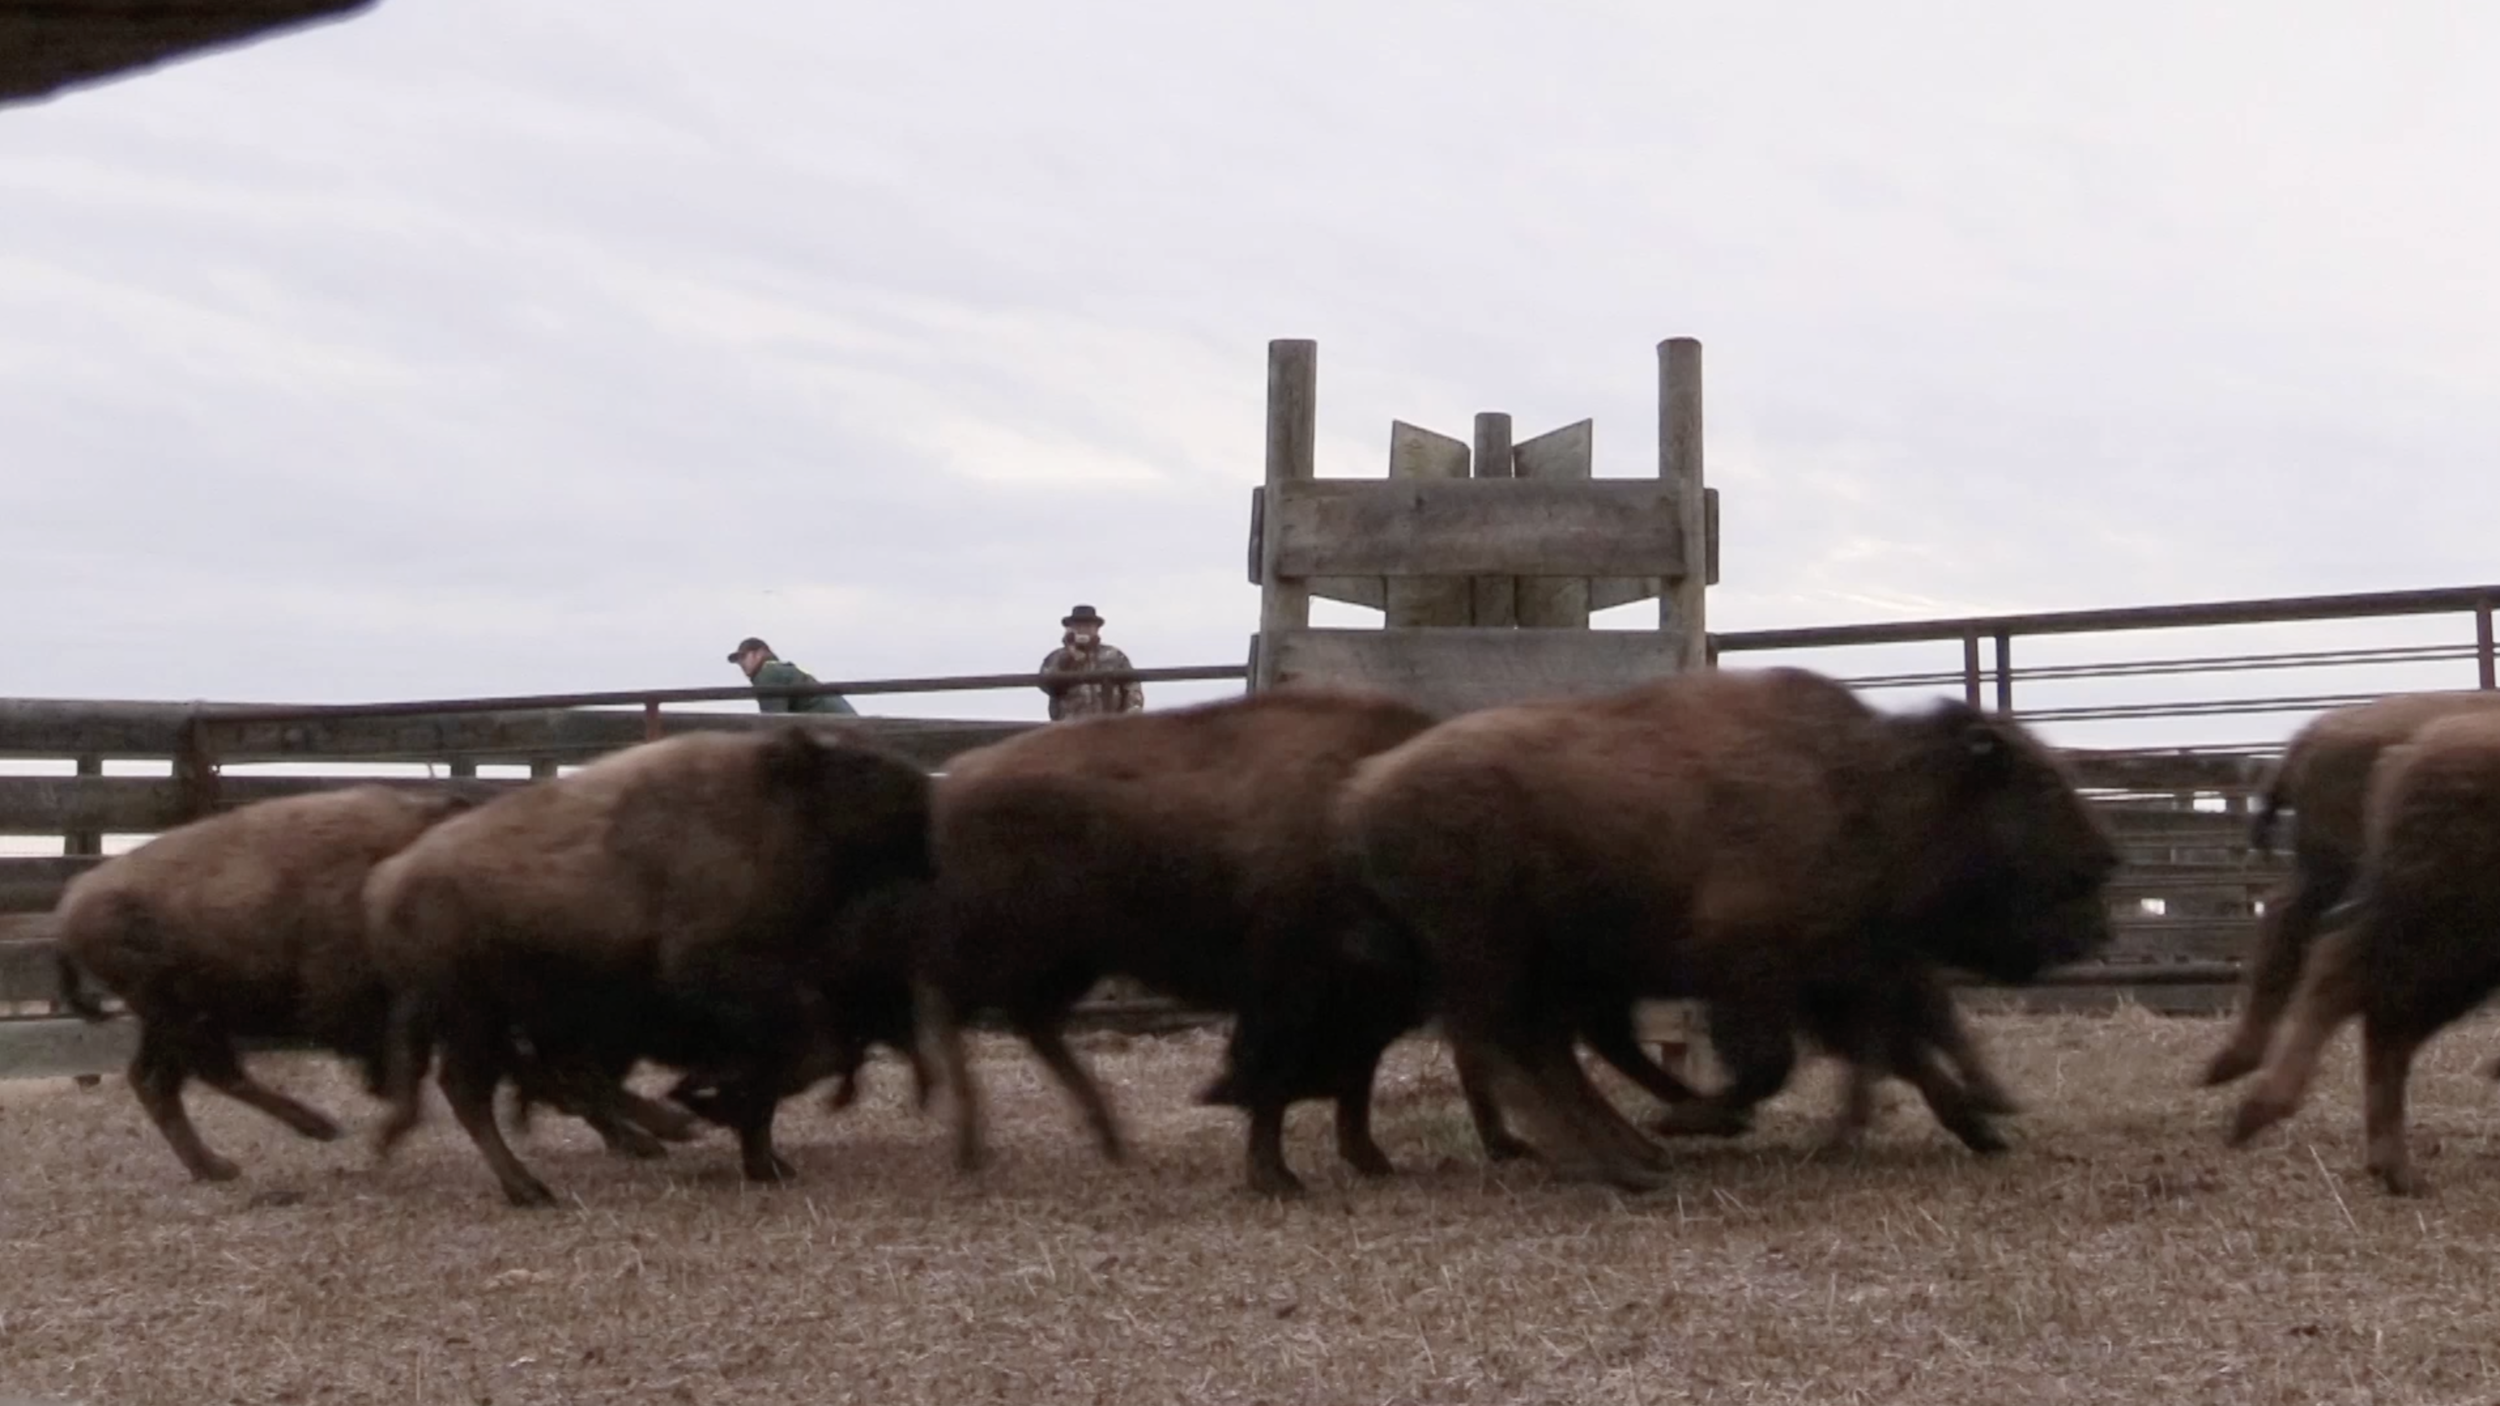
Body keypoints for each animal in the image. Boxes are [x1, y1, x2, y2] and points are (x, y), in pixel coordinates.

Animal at [51, 780, 497, 1175]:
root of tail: (71, 903)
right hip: (180, 1014)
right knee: (208, 1074)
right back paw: (315, 1128)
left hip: (166, 1019)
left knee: (156, 1080)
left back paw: (216, 1167)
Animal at [357, 720, 935, 1205]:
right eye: (860, 767)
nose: (924, 794)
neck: (775, 807)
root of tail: (388, 881)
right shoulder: (731, 985)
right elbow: (795, 1060)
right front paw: (712, 1108)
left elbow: (790, 1070)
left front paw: (762, 1157)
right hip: (480, 1019)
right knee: (480, 1091)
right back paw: (540, 1183)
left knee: (539, 1081)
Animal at [1340, 660, 2120, 1185]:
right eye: (2039, 783)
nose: (2105, 863)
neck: (1863, 786)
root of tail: (1368, 786)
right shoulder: (1757, 970)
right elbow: (1775, 1065)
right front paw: (1703, 1120)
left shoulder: (1840, 975)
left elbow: (1895, 1049)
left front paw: (1980, 1127)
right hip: (1503, 958)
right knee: (1522, 1049)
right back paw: (1629, 1157)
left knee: (1545, 1050)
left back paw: (1634, 1150)